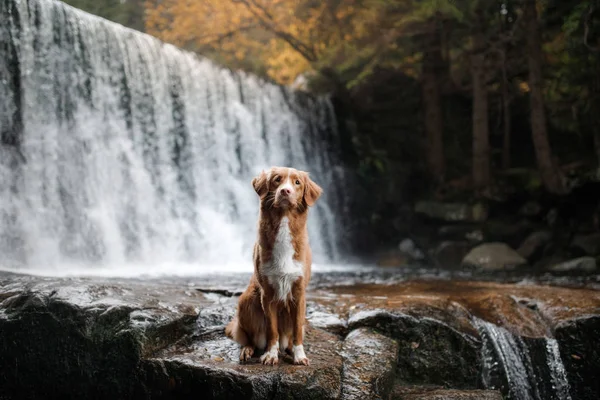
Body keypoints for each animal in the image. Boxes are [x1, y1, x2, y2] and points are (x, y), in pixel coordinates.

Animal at [225, 166, 322, 366]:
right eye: (277, 180)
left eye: (297, 182)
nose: (285, 191)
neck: (284, 222)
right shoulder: (267, 294)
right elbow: (272, 330)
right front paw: (270, 354)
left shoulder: (299, 293)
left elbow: (297, 330)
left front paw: (299, 355)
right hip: (247, 301)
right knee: (248, 338)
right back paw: (248, 350)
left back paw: (289, 348)